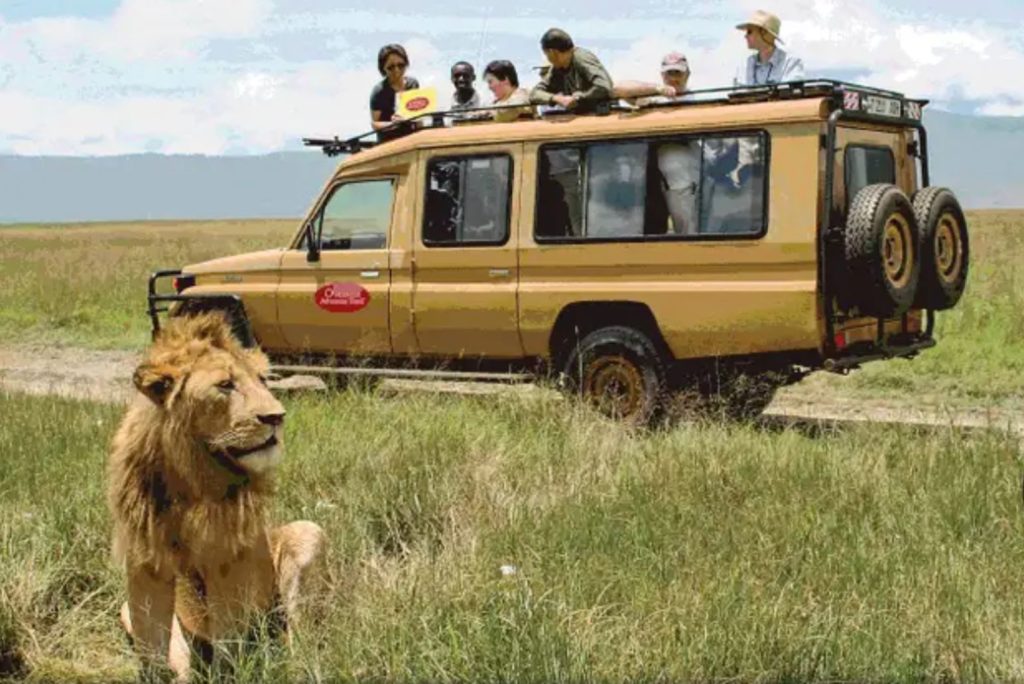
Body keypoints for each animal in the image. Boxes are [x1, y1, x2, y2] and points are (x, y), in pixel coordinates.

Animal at [107, 312, 324, 681]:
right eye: (225, 385)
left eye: (263, 380)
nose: (277, 417)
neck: (190, 479)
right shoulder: (144, 565)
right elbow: (152, 646)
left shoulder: (228, 561)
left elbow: (229, 646)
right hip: (130, 610)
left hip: (306, 536)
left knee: (295, 630)